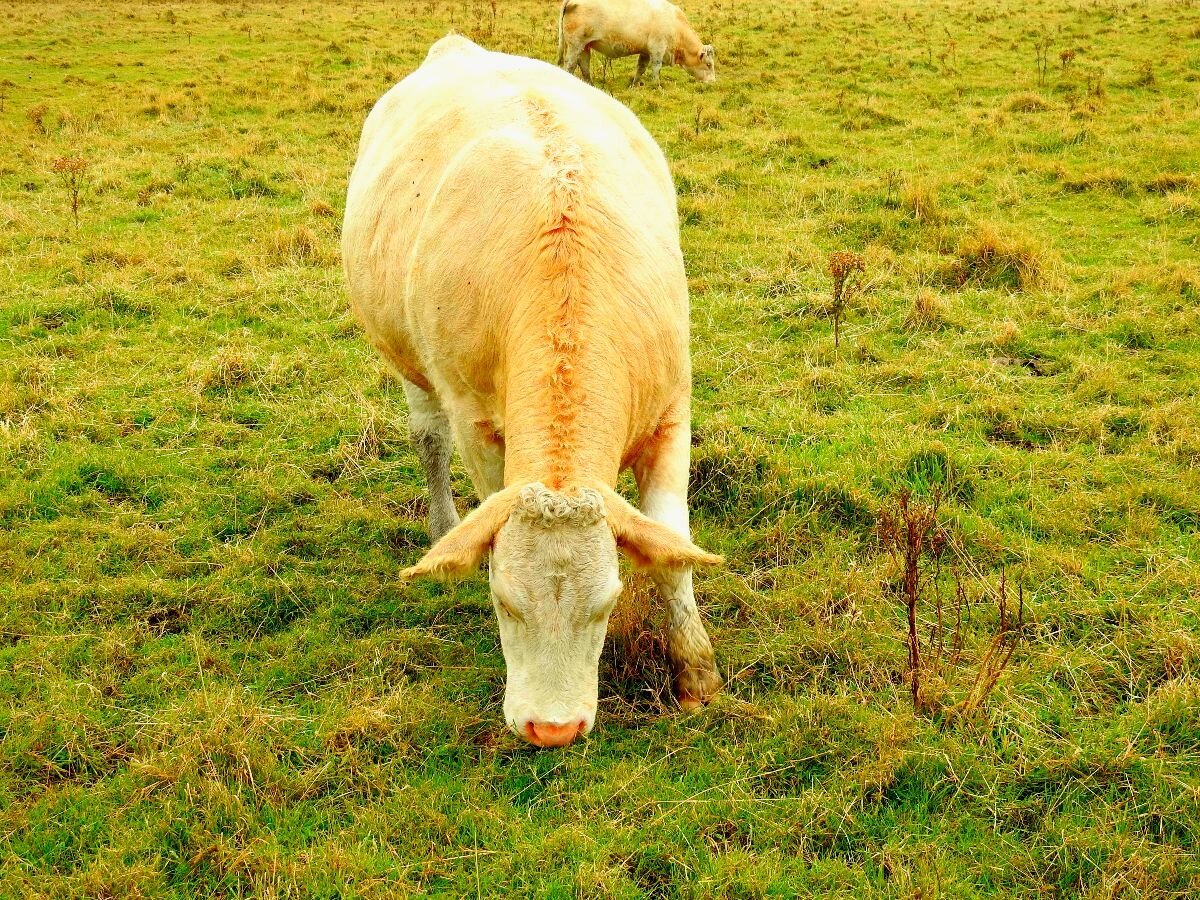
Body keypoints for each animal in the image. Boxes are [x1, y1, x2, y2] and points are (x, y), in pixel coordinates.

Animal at [342, 36, 722, 748]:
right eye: (504, 604)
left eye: (606, 604)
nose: (553, 729)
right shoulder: (477, 425)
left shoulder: (671, 416)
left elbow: (672, 552)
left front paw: (696, 674)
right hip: (410, 366)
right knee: (427, 441)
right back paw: (444, 526)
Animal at [556, 0, 716, 87]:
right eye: (709, 64)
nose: (713, 81)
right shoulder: (658, 49)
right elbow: (656, 69)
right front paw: (656, 86)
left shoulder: (645, 52)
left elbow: (640, 69)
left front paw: (634, 85)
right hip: (575, 45)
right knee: (570, 65)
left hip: (585, 46)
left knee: (584, 65)